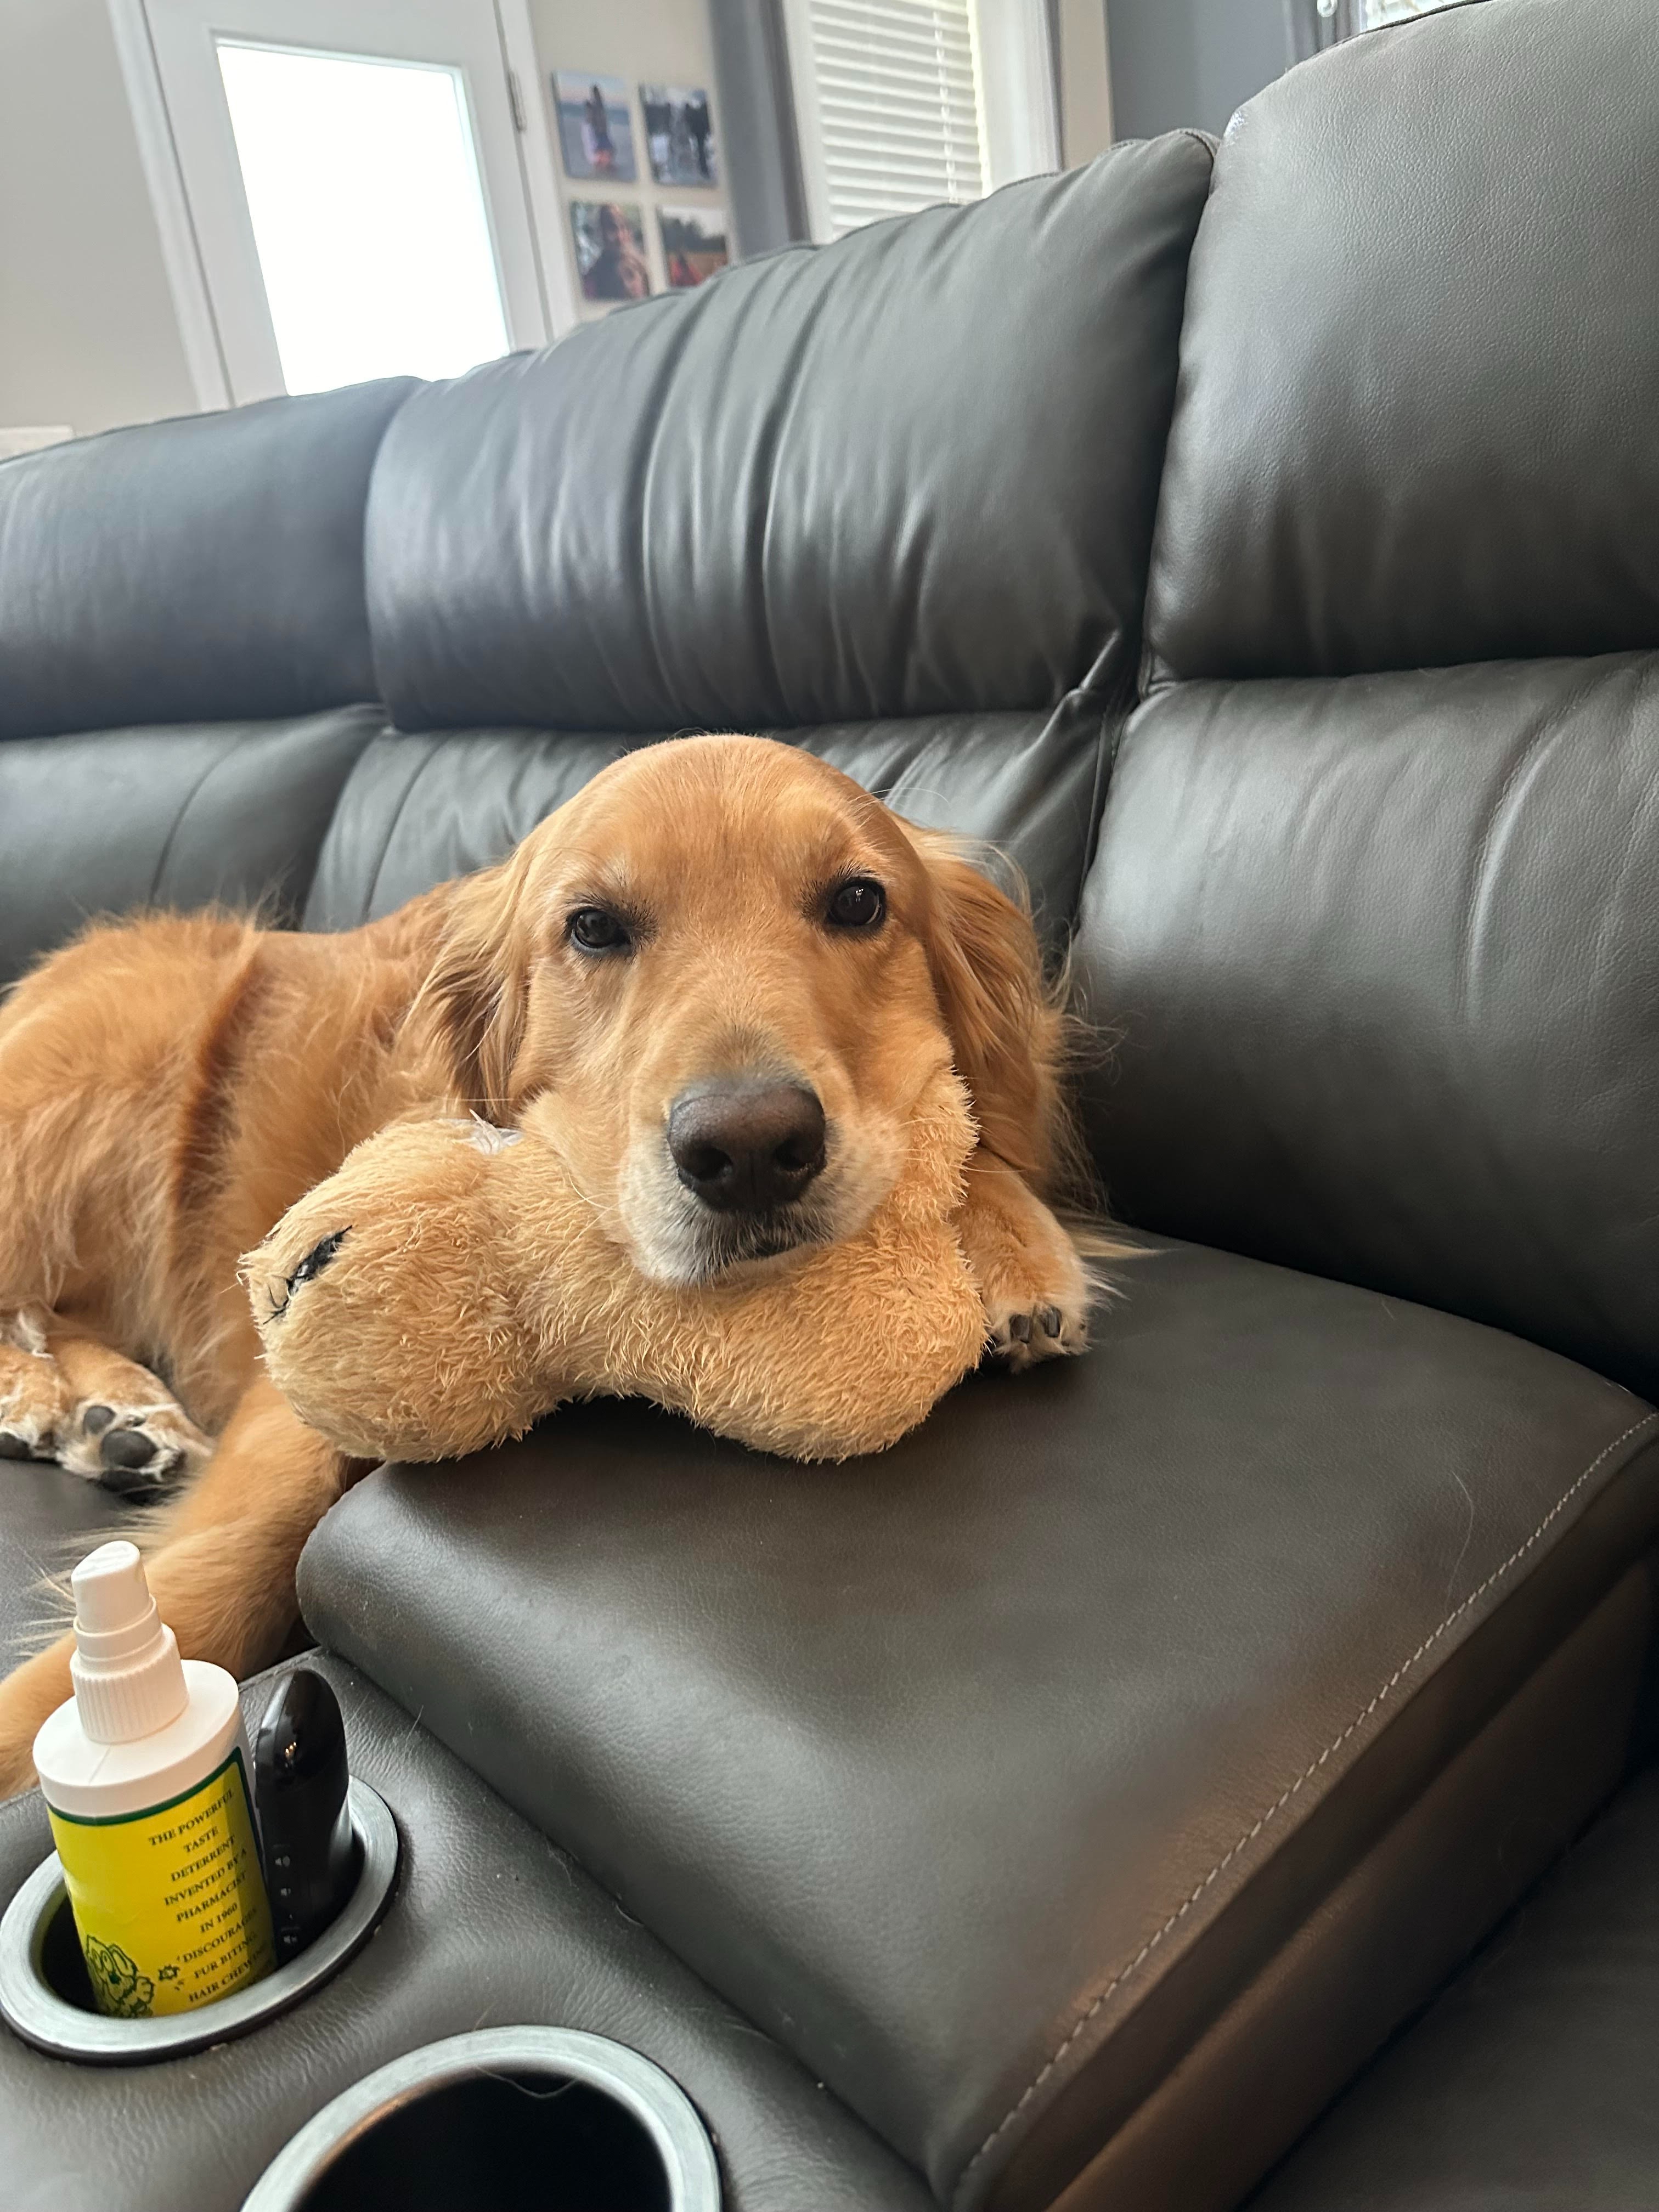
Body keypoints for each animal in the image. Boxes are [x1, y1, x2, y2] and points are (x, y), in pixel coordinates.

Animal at [0, 735, 1091, 1795]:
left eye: (859, 902)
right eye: (593, 927)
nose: (749, 1150)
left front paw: (1015, 1249)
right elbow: (228, 1569)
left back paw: (114, 1419)